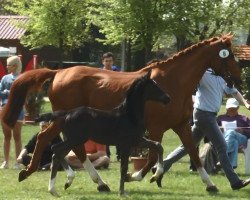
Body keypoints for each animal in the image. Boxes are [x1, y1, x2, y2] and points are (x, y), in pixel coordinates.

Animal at [36, 70, 170, 195]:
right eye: (154, 85)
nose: (167, 98)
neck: (129, 115)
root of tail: (67, 113)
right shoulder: (127, 143)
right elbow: (124, 167)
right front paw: (122, 192)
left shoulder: (136, 140)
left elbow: (158, 146)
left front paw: (155, 176)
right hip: (75, 139)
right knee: (57, 150)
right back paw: (55, 188)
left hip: (72, 139)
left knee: (57, 151)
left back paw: (65, 183)